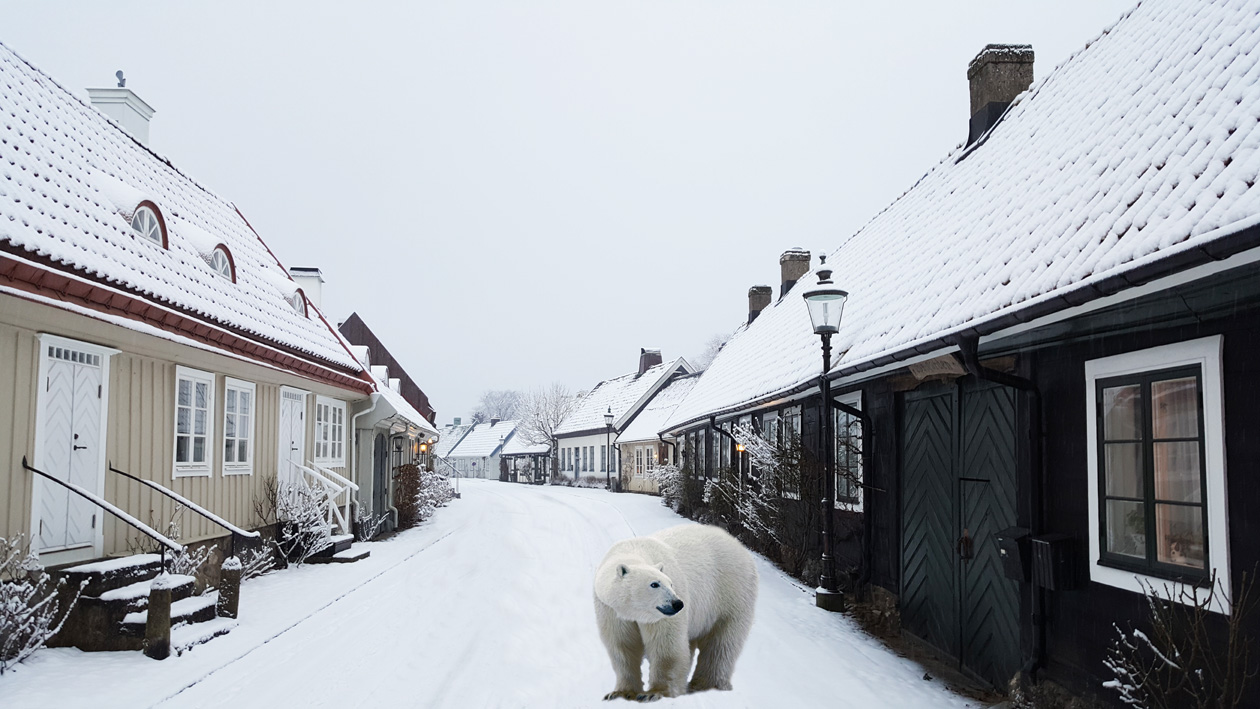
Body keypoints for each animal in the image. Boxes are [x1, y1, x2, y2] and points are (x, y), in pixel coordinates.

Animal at [593, 523, 758, 702]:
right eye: (654, 584)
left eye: (670, 583)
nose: (678, 604)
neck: (632, 551)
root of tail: (740, 547)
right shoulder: (611, 610)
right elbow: (623, 646)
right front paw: (620, 693)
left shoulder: (661, 616)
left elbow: (667, 646)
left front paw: (654, 693)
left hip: (730, 594)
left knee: (721, 643)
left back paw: (706, 685)